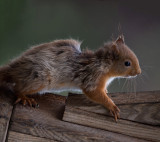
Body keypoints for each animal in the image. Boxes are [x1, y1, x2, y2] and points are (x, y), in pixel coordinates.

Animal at [0, 35, 141, 121]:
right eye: (127, 63)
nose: (138, 72)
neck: (103, 65)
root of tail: (14, 68)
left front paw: (107, 92)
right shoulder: (92, 79)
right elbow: (94, 93)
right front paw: (112, 106)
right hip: (39, 79)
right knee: (17, 89)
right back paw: (24, 97)